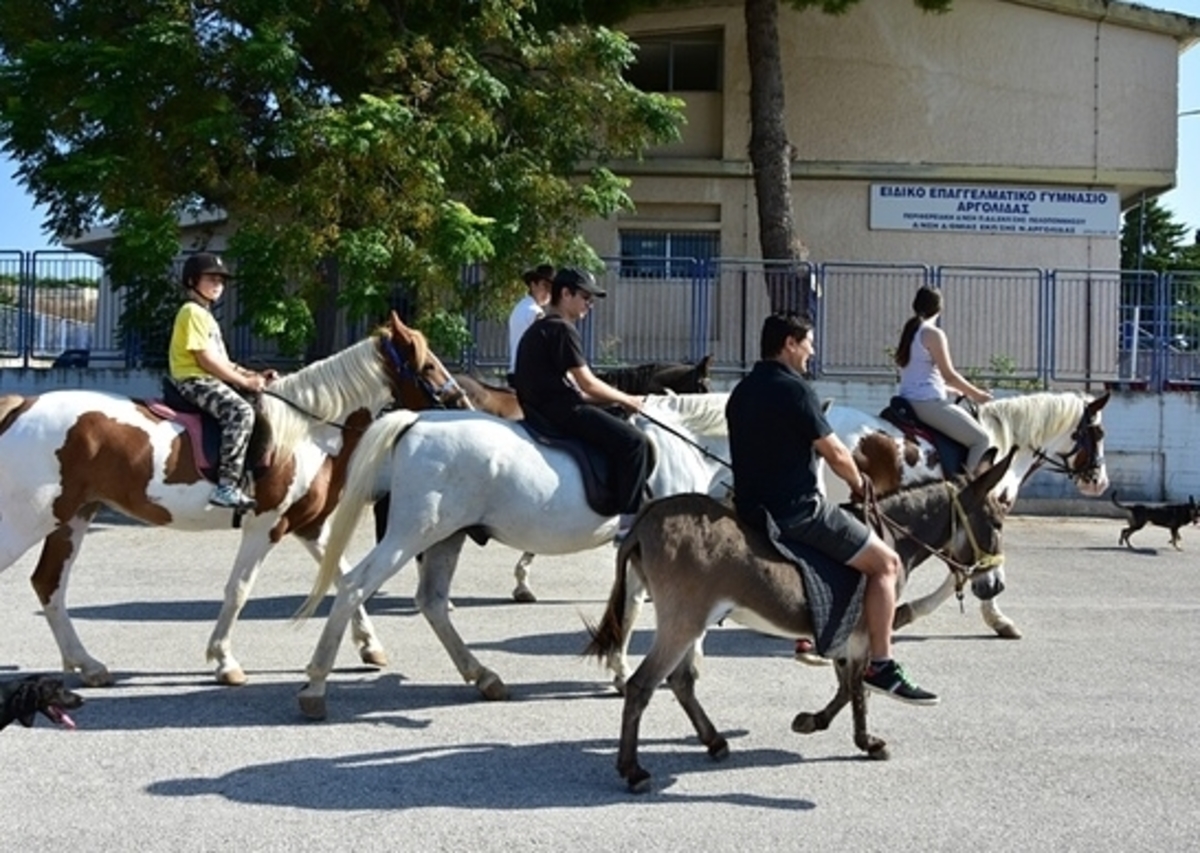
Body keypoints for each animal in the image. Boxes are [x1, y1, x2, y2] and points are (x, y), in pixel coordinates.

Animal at [0, 314, 468, 686]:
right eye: (428, 365)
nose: (461, 401)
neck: (309, 431)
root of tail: (22, 406)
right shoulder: (265, 525)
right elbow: (239, 589)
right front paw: (224, 661)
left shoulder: (308, 527)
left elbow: (342, 576)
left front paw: (370, 647)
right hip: (28, 520)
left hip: (72, 518)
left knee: (49, 584)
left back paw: (87, 665)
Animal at [297, 395, 729, 719]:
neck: (685, 446)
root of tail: (415, 421)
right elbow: (645, 608)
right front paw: (648, 670)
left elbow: (631, 607)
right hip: (412, 533)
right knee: (355, 586)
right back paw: (316, 684)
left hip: (446, 536)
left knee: (432, 601)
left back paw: (483, 676)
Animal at [580, 446, 1012, 791]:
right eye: (997, 522)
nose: (995, 586)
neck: (893, 539)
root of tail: (646, 517)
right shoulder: (864, 629)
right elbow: (857, 687)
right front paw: (863, 740)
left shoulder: (842, 631)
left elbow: (848, 686)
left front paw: (817, 723)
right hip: (682, 620)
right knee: (641, 686)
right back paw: (634, 771)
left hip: (691, 623)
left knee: (681, 681)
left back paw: (715, 742)